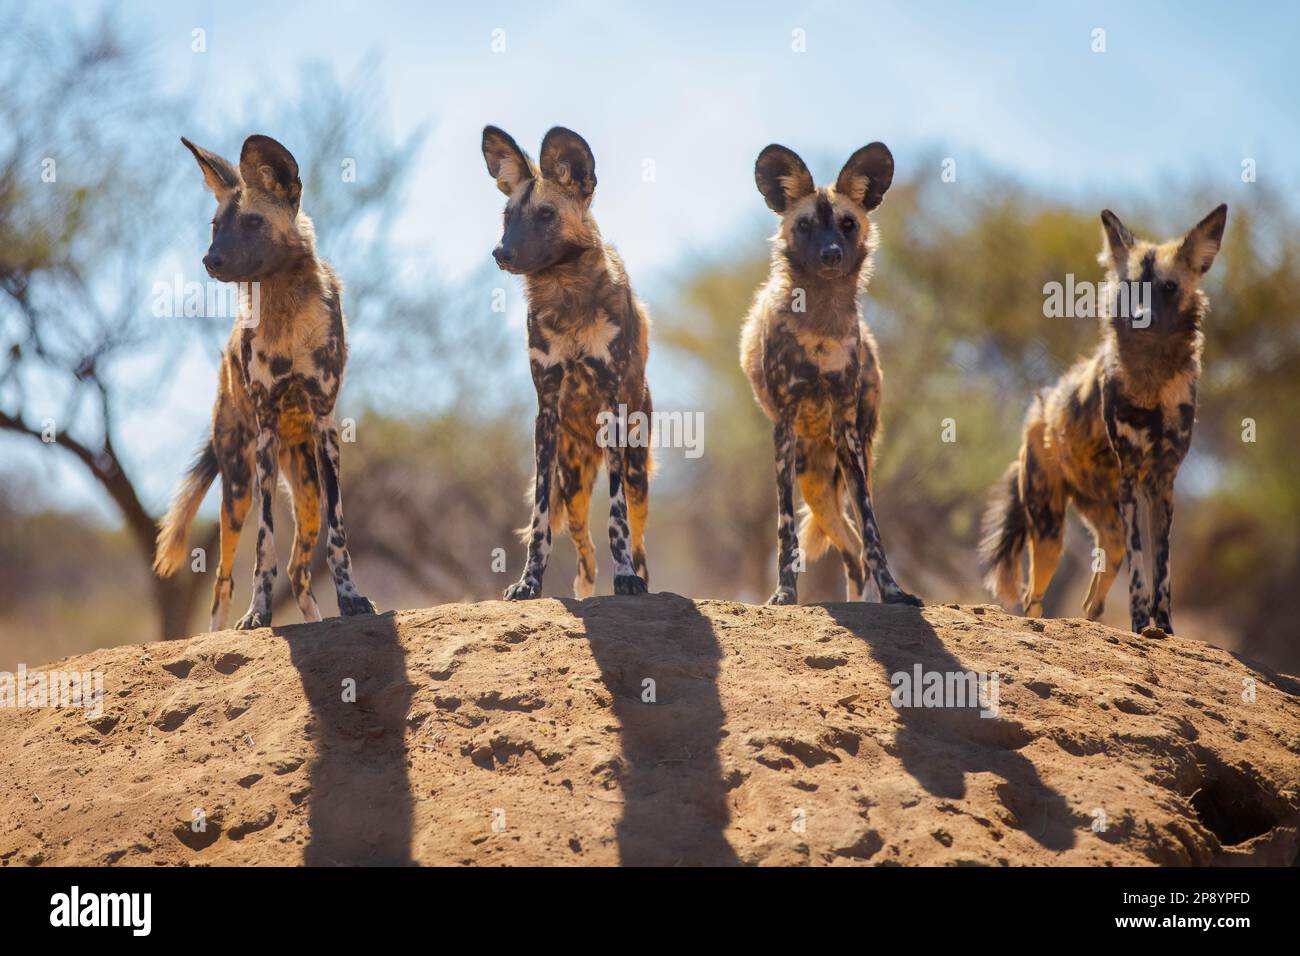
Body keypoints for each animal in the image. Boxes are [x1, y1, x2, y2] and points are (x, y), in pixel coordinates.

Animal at [483, 126, 655, 598]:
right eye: (508, 216)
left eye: (545, 215)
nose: (501, 252)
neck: (566, 292)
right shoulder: (546, 414)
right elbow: (540, 520)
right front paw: (529, 582)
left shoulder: (612, 409)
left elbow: (616, 519)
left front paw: (626, 579)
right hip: (573, 478)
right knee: (585, 555)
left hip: (635, 468)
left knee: (637, 537)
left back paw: (639, 578)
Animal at [743, 141, 925, 606]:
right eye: (805, 225)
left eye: (847, 223)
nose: (831, 254)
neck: (820, 328)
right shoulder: (784, 427)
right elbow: (785, 529)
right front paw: (784, 594)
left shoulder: (847, 430)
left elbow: (874, 531)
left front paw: (894, 592)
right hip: (814, 479)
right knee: (847, 546)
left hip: (848, 460)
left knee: (856, 545)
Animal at [982, 204, 1227, 634]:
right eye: (1130, 287)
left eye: (1168, 287)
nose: (1142, 317)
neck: (1151, 378)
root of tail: (1039, 413)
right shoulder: (1131, 478)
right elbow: (1140, 569)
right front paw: (1140, 622)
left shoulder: (1162, 483)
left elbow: (1162, 569)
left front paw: (1163, 627)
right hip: (1050, 532)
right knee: (1034, 597)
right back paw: (1037, 625)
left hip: (1103, 523)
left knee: (1095, 588)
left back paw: (1094, 620)